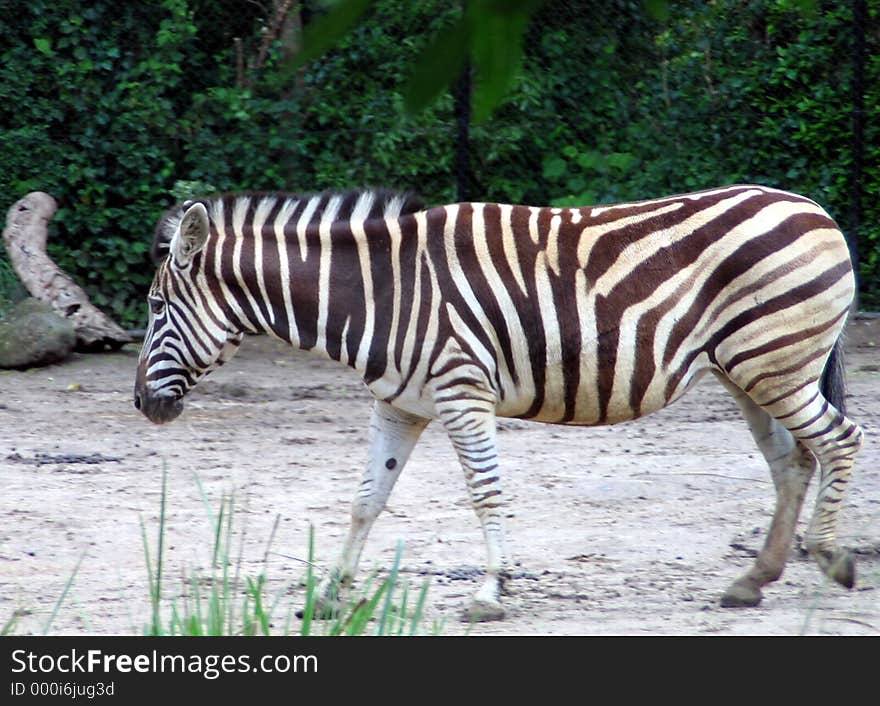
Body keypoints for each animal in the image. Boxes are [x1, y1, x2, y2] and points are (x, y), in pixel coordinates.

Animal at [134, 184, 864, 620]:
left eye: (157, 306)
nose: (141, 403)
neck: (382, 294)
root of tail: (816, 209)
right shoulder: (400, 405)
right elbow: (366, 499)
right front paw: (330, 597)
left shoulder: (463, 393)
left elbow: (485, 493)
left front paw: (490, 591)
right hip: (749, 371)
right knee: (792, 462)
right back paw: (753, 579)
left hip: (774, 362)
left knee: (839, 441)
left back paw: (830, 559)